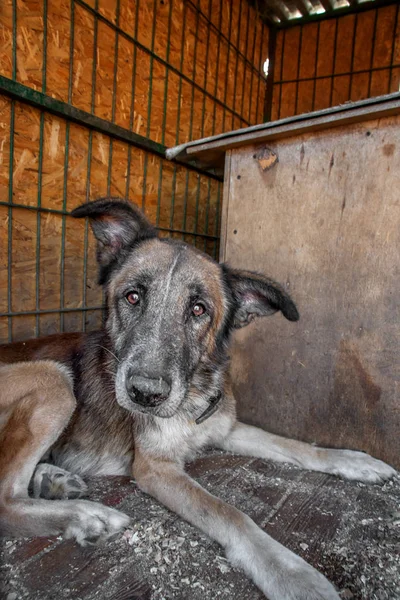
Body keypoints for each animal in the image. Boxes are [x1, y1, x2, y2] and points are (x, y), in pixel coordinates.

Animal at [0, 198, 394, 600]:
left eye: (198, 309)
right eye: (132, 296)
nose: (145, 394)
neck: (192, 398)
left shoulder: (225, 428)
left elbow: (295, 445)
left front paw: (353, 460)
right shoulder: (156, 469)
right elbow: (229, 513)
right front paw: (290, 572)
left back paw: (53, 480)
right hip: (54, 379)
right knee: (5, 502)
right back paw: (85, 515)